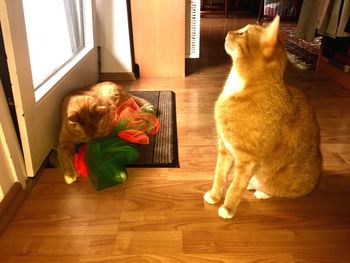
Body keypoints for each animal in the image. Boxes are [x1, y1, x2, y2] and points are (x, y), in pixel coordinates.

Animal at [204, 16, 322, 221]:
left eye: (243, 33)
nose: (228, 32)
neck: (241, 86)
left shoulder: (247, 161)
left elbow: (235, 187)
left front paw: (228, 207)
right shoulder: (225, 148)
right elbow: (219, 176)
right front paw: (214, 195)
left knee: (270, 189)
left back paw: (260, 190)